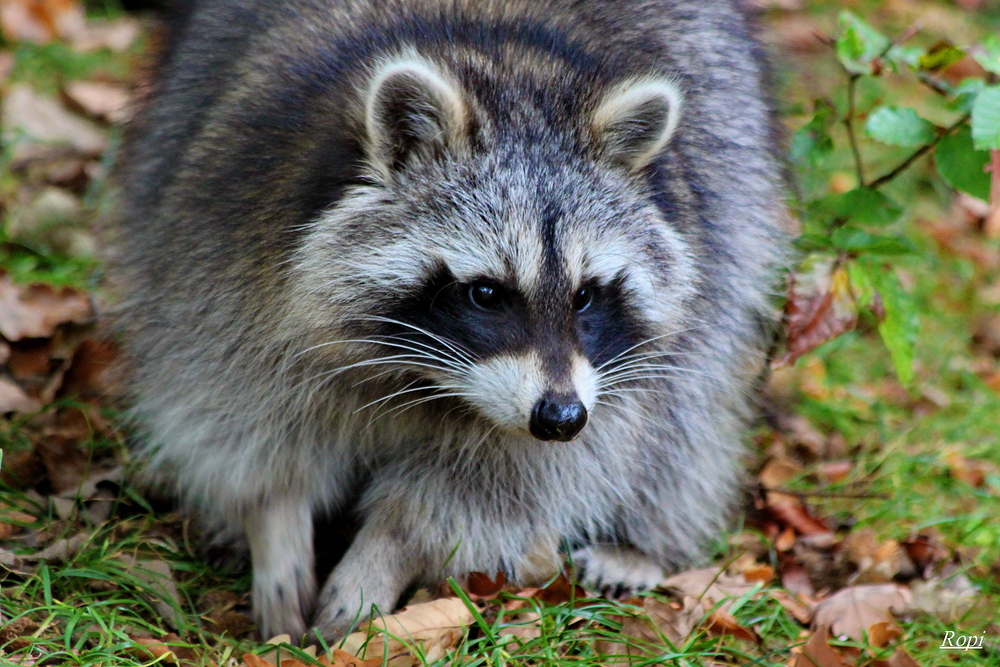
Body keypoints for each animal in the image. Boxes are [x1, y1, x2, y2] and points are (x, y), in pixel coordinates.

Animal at [111, 0, 788, 640]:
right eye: (486, 293)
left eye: (586, 296)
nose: (561, 418)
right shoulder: (222, 248)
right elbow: (241, 420)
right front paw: (274, 528)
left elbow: (501, 484)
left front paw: (382, 555)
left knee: (683, 413)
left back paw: (647, 540)